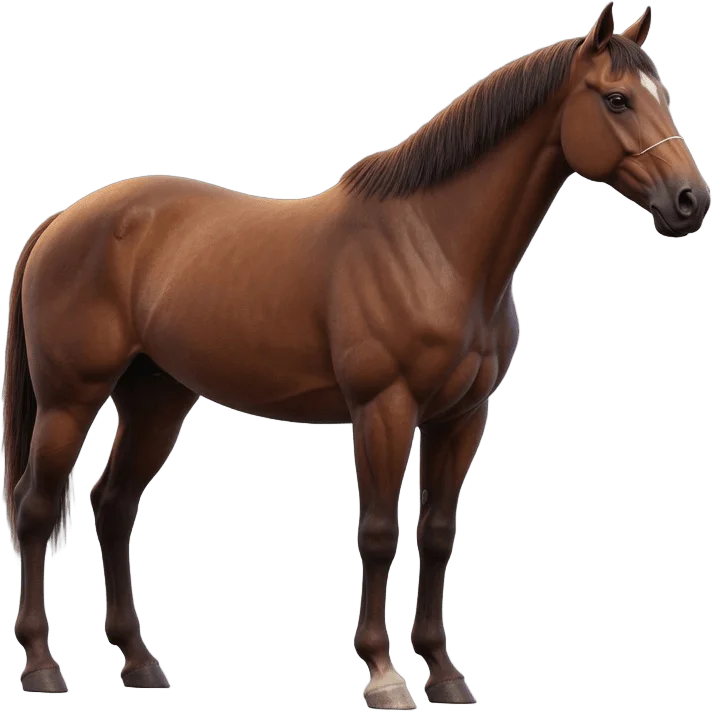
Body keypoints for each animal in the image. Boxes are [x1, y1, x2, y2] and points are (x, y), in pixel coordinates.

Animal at [2, 2, 708, 706]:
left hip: (155, 401)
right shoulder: (383, 410)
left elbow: (436, 535)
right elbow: (378, 535)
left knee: (114, 506)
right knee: (36, 507)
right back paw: (41, 664)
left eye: (662, 96)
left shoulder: (461, 417)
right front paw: (383, 671)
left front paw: (443, 671)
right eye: (616, 99)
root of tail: (66, 219)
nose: (690, 200)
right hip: (70, 401)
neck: (436, 246)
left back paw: (139, 660)